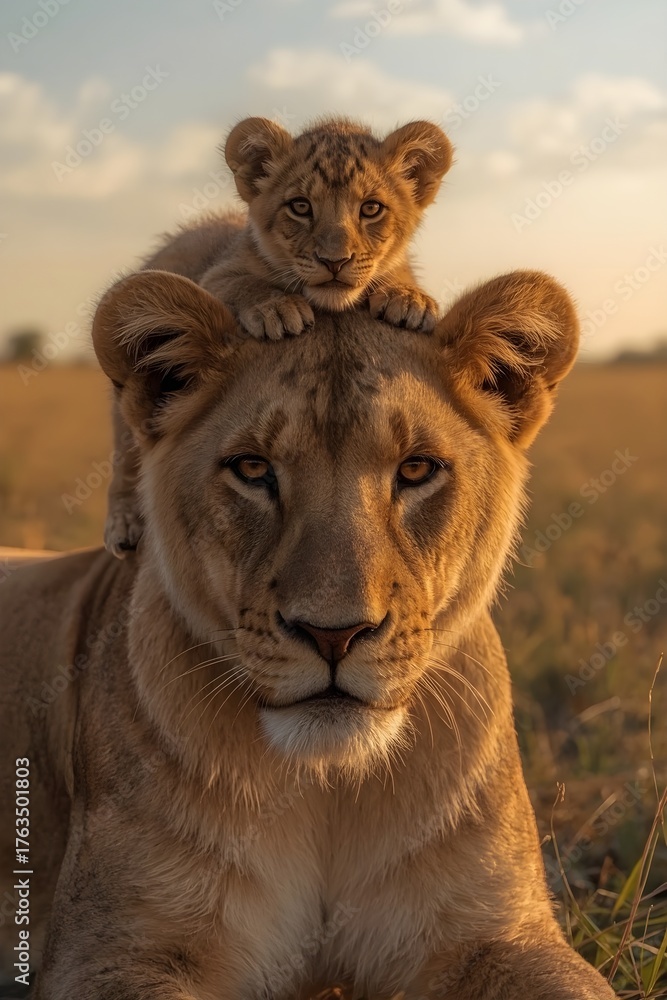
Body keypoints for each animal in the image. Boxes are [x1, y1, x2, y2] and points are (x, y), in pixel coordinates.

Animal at [0, 226, 615, 999]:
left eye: (416, 469)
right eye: (252, 469)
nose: (335, 633)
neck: (327, 788)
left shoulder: (503, 935)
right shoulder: (109, 949)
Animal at [105, 117, 453, 555]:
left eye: (371, 208)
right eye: (300, 206)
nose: (334, 261)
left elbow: (398, 279)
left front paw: (408, 299)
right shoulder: (217, 275)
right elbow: (246, 283)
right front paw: (277, 309)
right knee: (125, 460)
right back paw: (123, 525)